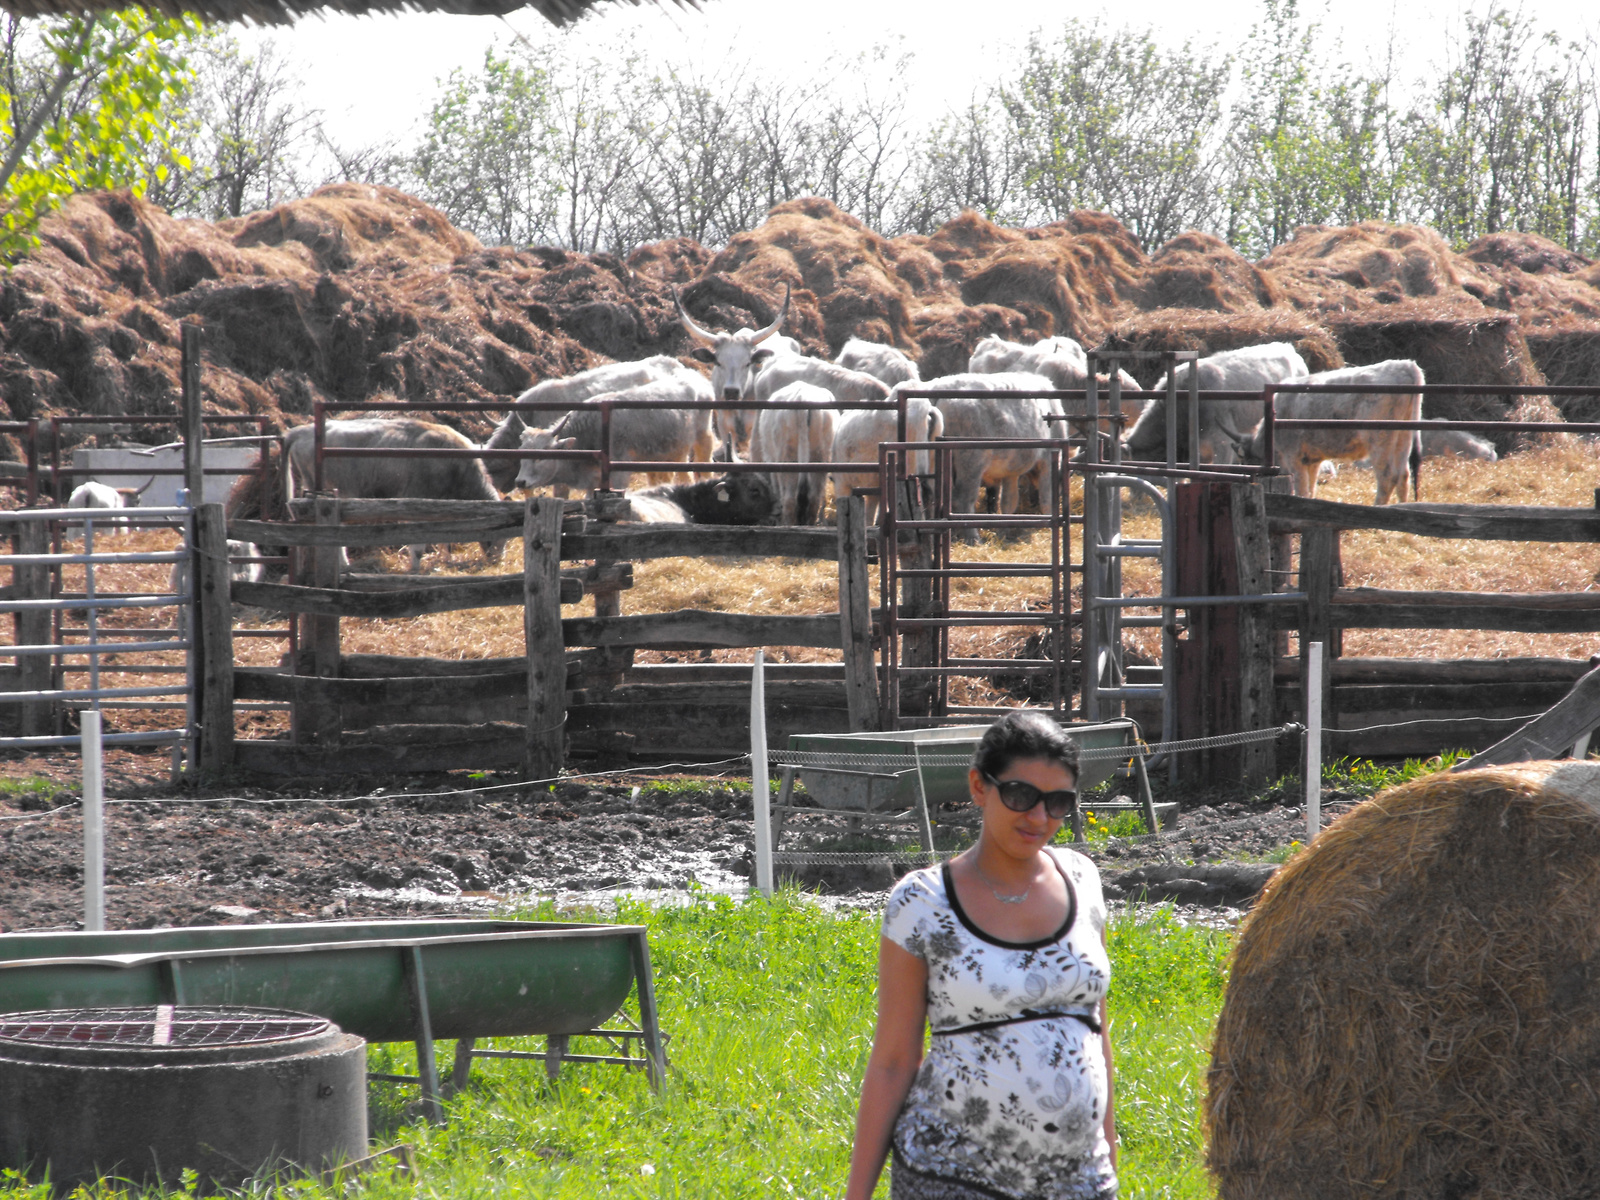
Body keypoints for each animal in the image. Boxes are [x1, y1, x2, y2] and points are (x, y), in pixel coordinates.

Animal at [515, 371, 716, 492]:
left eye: (541, 457)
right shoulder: (593, 482)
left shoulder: (619, 474)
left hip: (703, 439)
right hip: (672, 454)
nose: (520, 482)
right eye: (520, 454)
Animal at [1235, 360, 1427, 505]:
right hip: (1403, 437)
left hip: (1379, 439)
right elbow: (1311, 488)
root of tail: (1404, 365)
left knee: (1387, 476)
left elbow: (1301, 487)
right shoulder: (1312, 460)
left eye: (1246, 461)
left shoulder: (1293, 456)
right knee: (1403, 475)